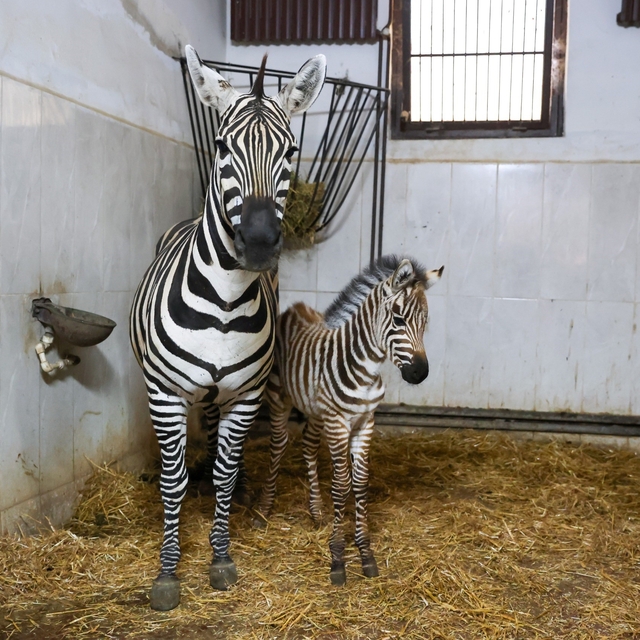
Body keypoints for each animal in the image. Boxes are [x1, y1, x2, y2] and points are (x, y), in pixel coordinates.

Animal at [129, 45, 326, 611]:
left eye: (290, 150)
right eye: (220, 146)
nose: (258, 242)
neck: (223, 303)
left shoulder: (245, 395)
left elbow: (224, 469)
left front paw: (220, 556)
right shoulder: (165, 393)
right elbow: (172, 480)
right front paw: (168, 572)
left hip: (223, 395)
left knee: (218, 441)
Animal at [255, 255, 443, 586]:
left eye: (425, 323)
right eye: (398, 320)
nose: (420, 373)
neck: (365, 369)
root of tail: (296, 307)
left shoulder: (365, 422)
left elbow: (360, 482)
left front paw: (365, 551)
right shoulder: (339, 423)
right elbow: (342, 484)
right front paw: (338, 555)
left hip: (316, 411)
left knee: (307, 445)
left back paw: (316, 511)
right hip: (280, 398)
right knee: (278, 445)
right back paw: (266, 508)